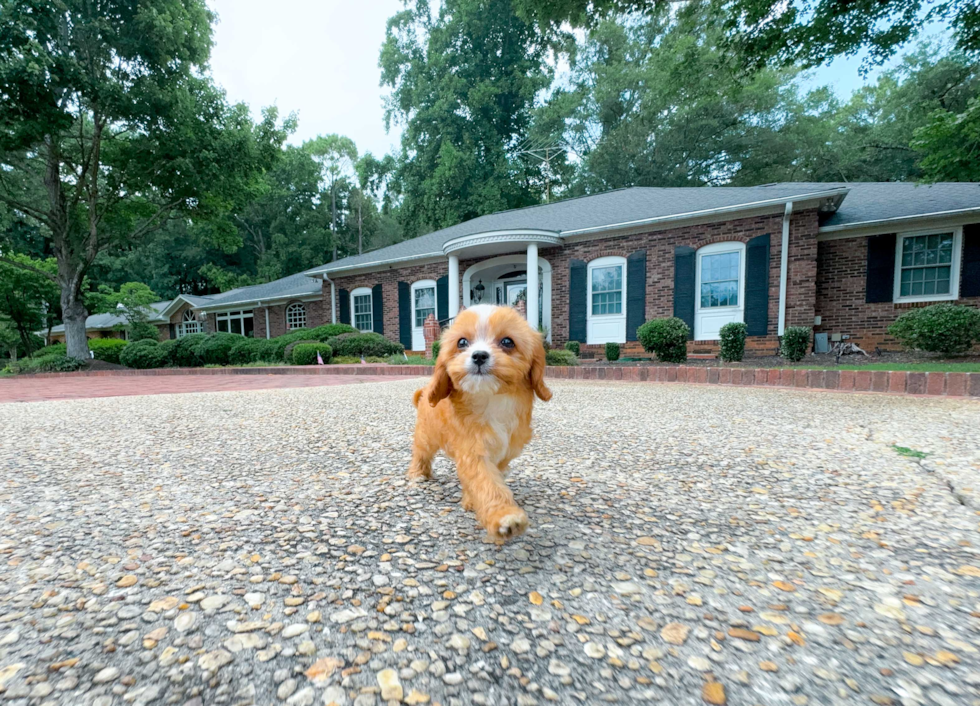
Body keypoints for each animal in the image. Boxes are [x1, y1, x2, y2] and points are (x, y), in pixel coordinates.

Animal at [408, 302, 552, 540]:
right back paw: (418, 474)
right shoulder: (472, 450)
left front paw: (471, 500)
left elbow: (492, 475)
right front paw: (505, 516)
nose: (478, 356)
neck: (491, 399)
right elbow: (485, 481)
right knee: (421, 452)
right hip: (426, 435)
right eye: (462, 342)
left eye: (507, 342)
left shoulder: (505, 451)